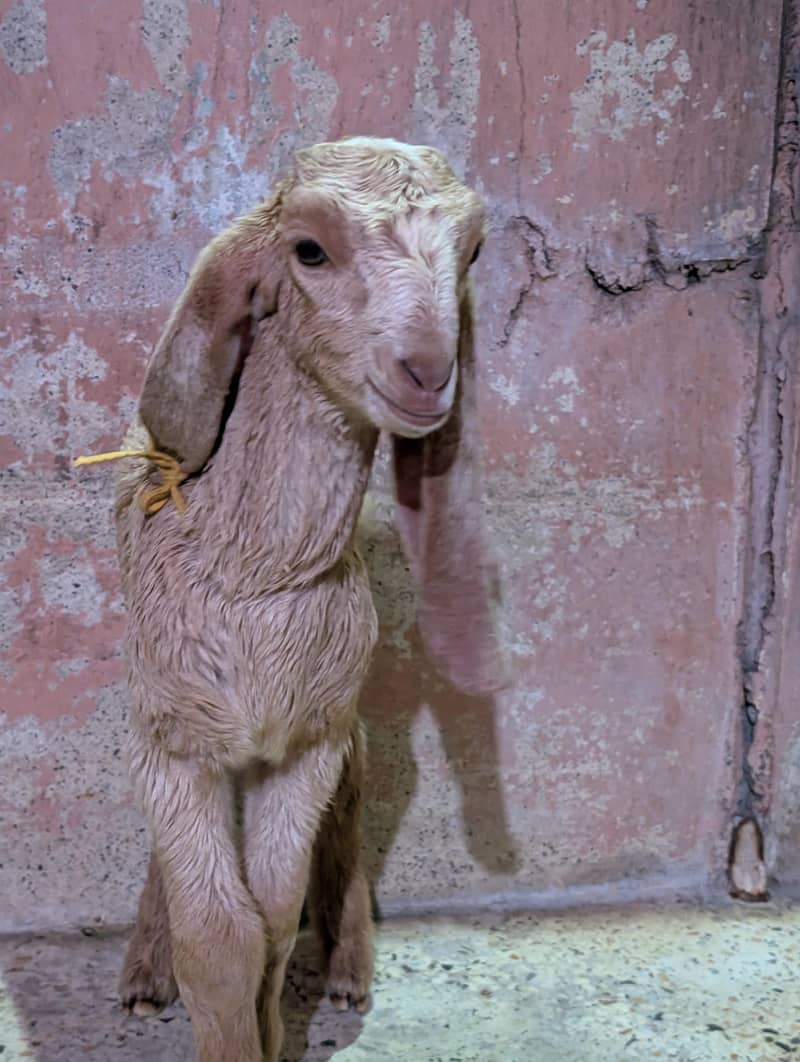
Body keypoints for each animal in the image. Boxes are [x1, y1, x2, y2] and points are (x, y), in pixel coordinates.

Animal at [93, 136, 505, 1062]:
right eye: (309, 250)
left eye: (470, 254)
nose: (428, 372)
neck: (254, 579)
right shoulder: (173, 742)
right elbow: (219, 938)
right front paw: (205, 1006)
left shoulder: (308, 744)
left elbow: (274, 921)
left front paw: (274, 1031)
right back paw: (142, 967)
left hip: (347, 724)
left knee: (349, 826)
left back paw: (348, 966)